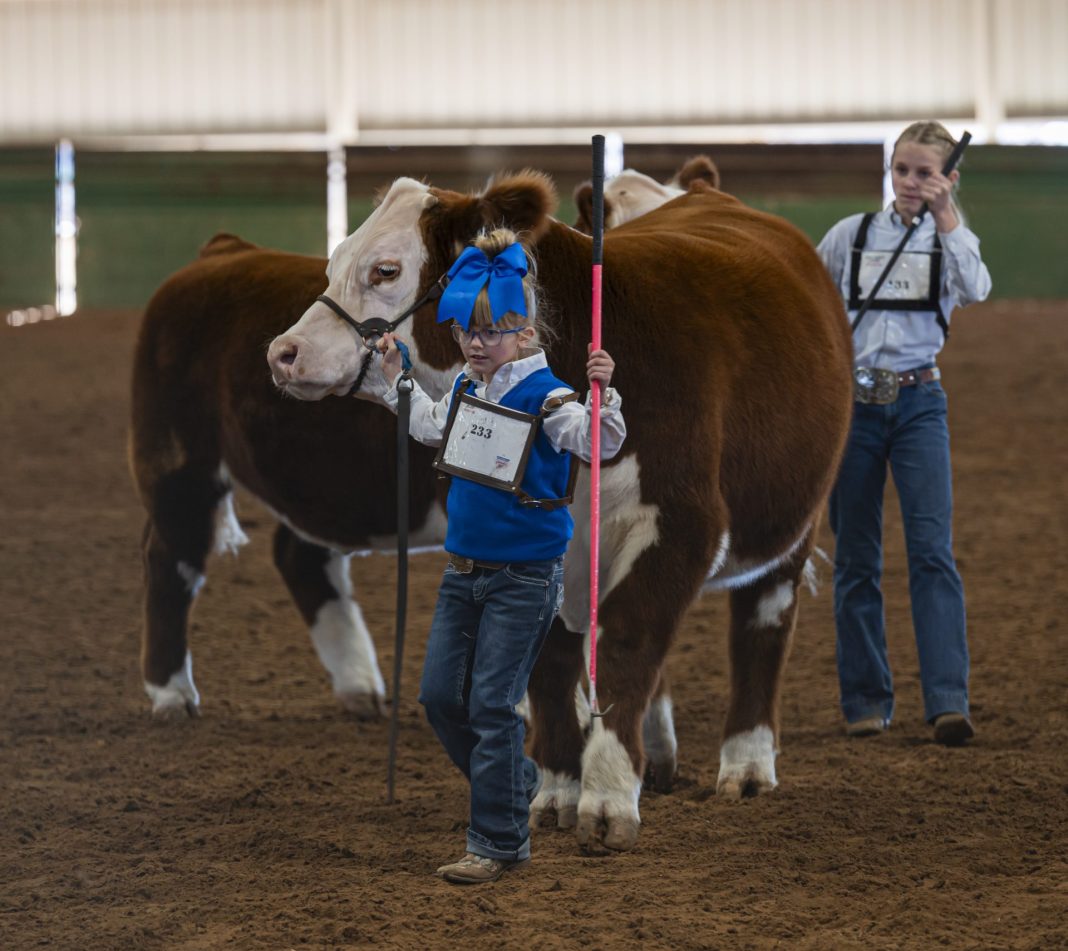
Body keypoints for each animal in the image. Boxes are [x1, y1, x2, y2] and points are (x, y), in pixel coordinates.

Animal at [264, 170, 850, 850]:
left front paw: (609, 797)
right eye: (333, 263)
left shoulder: (681, 525)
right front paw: (558, 792)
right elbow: (549, 661)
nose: (283, 352)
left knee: (762, 625)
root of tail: (707, 193)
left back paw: (748, 765)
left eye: (386, 270)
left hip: (794, 522)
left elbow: (627, 643)